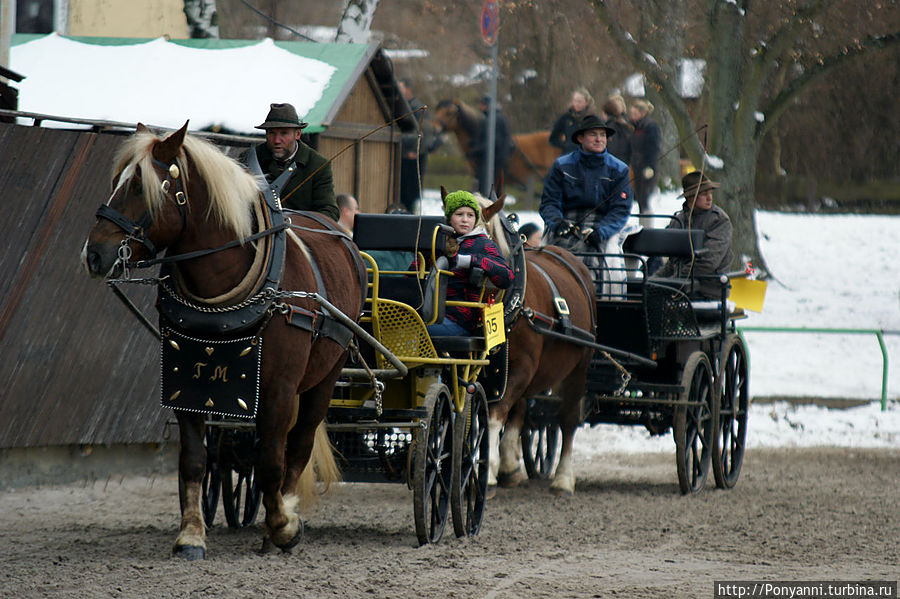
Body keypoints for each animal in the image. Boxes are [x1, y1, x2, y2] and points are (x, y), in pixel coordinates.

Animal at [82, 124, 364, 560]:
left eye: (141, 187)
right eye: (116, 182)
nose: (94, 254)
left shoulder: (280, 389)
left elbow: (272, 460)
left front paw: (284, 526)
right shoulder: (187, 383)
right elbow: (195, 459)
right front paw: (191, 536)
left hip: (326, 375)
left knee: (298, 444)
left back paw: (283, 517)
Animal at [478, 195, 596, 494]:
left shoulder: (522, 366)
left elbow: (495, 414)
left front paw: (488, 471)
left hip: (579, 366)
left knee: (567, 420)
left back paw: (563, 478)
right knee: (521, 410)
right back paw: (510, 465)